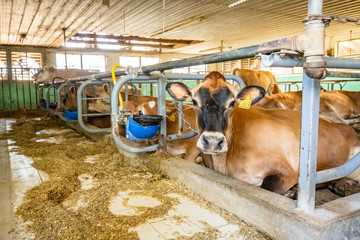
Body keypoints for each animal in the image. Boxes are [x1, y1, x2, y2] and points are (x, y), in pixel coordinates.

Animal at [166, 71, 360, 197]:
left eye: (232, 103)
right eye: (194, 101)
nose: (213, 141)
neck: (224, 163)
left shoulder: (287, 171)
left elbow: (267, 188)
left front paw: (292, 192)